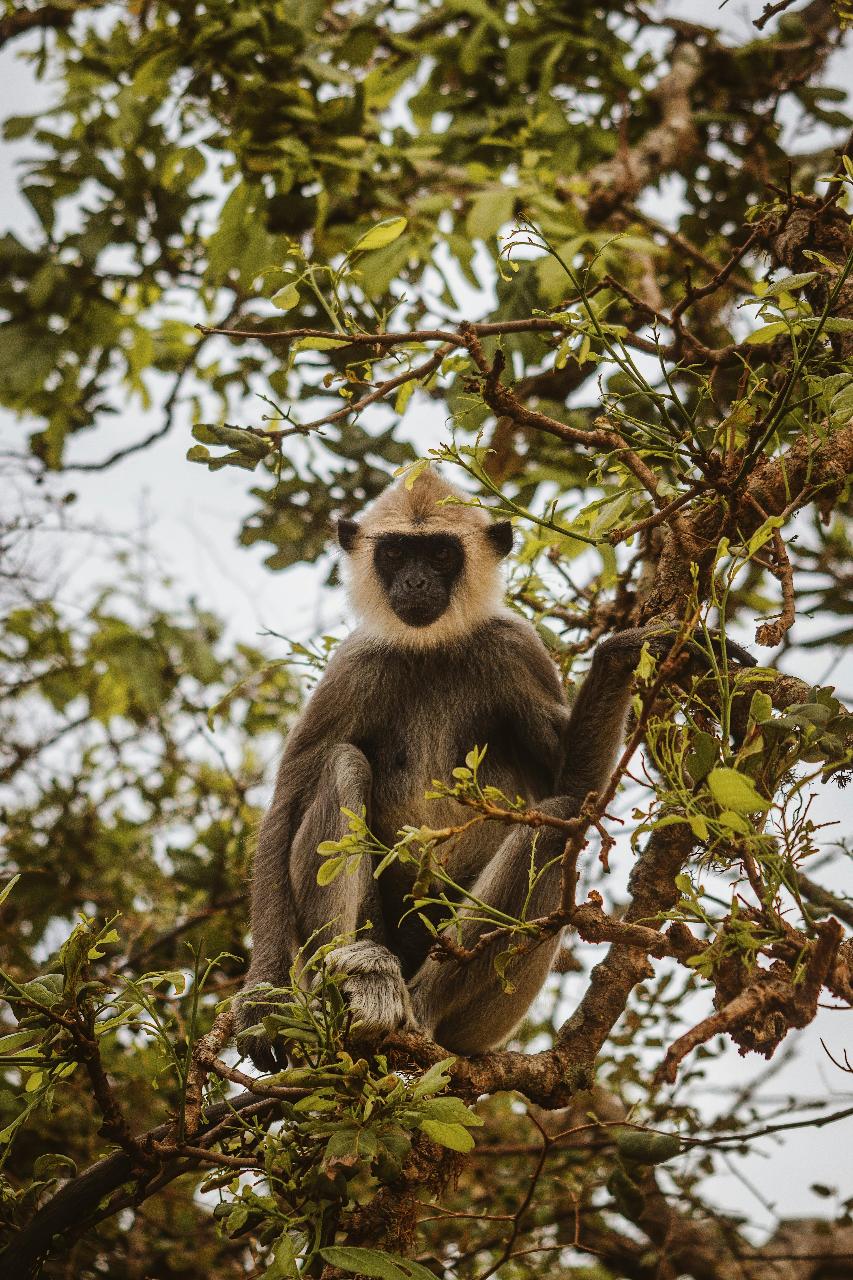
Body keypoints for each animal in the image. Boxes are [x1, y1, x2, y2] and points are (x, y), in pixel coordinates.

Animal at [234, 471, 753, 1070]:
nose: (414, 582)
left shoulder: (513, 648)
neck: (431, 649)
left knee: (556, 824)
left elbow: (576, 791)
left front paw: (621, 653)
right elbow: (286, 803)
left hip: (492, 1018)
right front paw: (262, 998)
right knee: (341, 762)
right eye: (394, 554)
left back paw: (419, 1011)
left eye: (440, 553)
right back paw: (361, 979)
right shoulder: (353, 668)